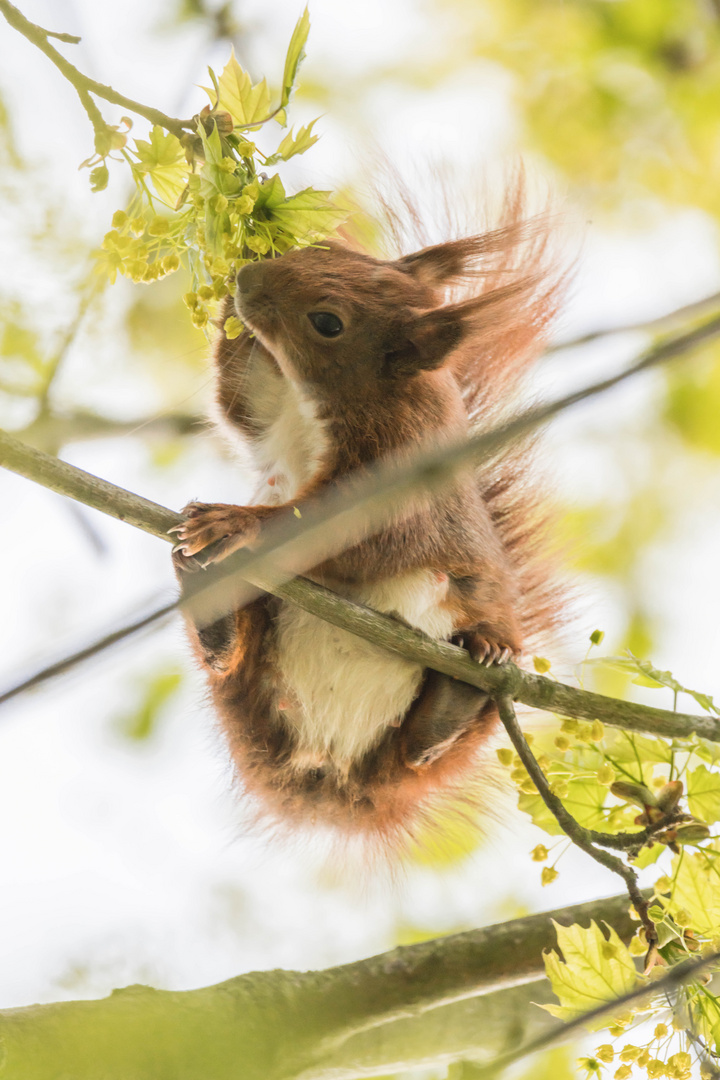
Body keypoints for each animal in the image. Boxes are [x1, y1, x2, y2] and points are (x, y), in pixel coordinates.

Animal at [172, 198, 561, 846]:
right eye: (323, 251)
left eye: (328, 323)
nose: (247, 278)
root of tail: (331, 765)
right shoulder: (270, 410)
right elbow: (236, 397)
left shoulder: (404, 477)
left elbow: (356, 536)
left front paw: (237, 523)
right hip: (253, 676)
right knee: (230, 664)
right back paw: (212, 598)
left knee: (419, 749)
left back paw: (465, 683)